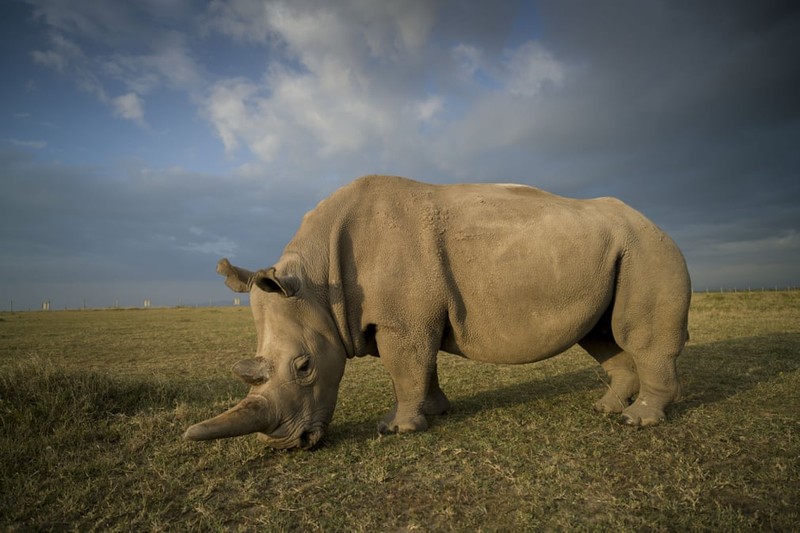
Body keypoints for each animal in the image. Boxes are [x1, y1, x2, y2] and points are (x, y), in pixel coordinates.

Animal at [184, 177, 692, 446]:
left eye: (304, 366)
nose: (294, 444)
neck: (315, 282)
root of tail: (655, 223)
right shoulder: (410, 319)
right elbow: (421, 368)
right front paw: (435, 412)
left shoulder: (400, 322)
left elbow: (404, 368)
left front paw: (396, 428)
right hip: (615, 251)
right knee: (601, 336)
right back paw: (607, 408)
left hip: (647, 248)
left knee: (636, 335)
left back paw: (638, 420)